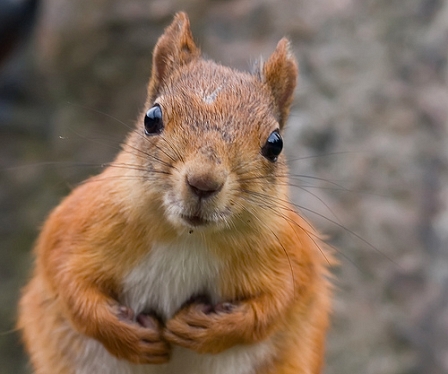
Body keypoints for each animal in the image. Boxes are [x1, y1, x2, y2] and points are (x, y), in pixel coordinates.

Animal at [17, 11, 332, 374]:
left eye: (275, 143)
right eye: (151, 118)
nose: (203, 182)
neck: (187, 237)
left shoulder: (294, 254)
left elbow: (278, 303)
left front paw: (210, 329)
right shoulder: (75, 225)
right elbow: (66, 279)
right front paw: (126, 335)